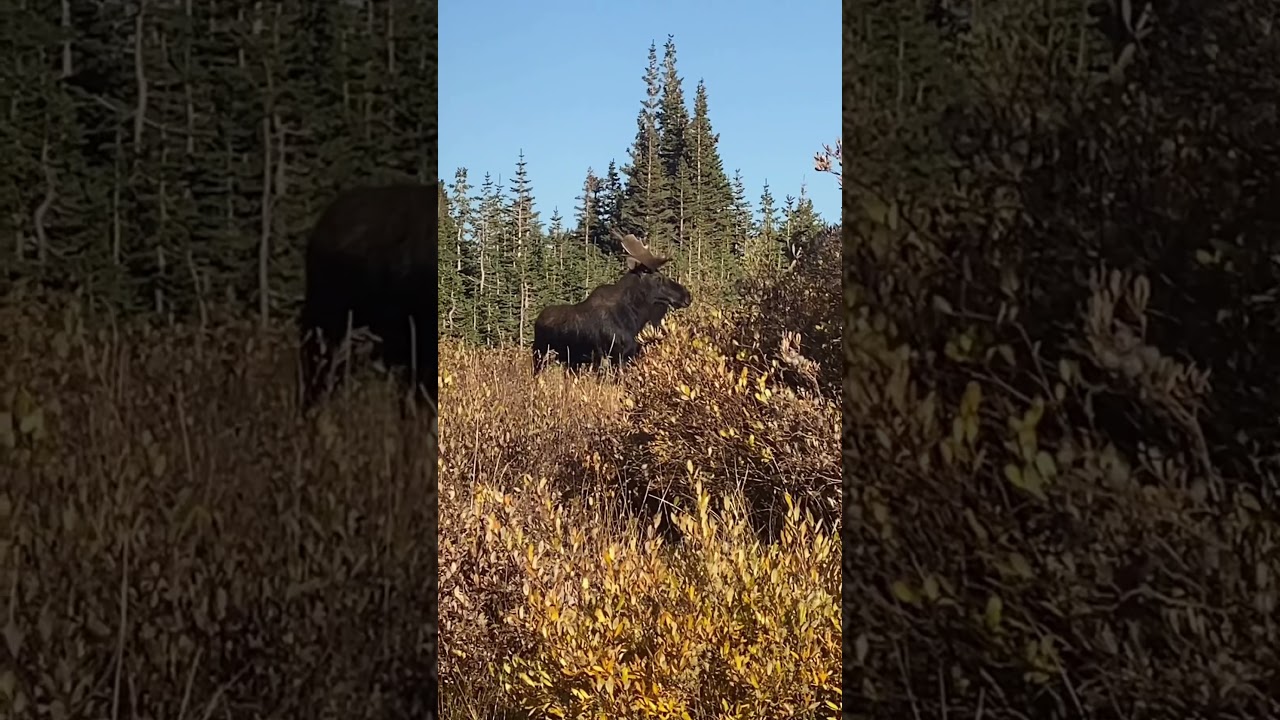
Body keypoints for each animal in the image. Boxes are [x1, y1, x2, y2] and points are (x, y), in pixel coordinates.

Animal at [532, 230, 692, 374]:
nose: (686, 295)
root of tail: (538, 319)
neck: (634, 318)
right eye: (658, 278)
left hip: (571, 361)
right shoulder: (616, 354)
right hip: (540, 354)